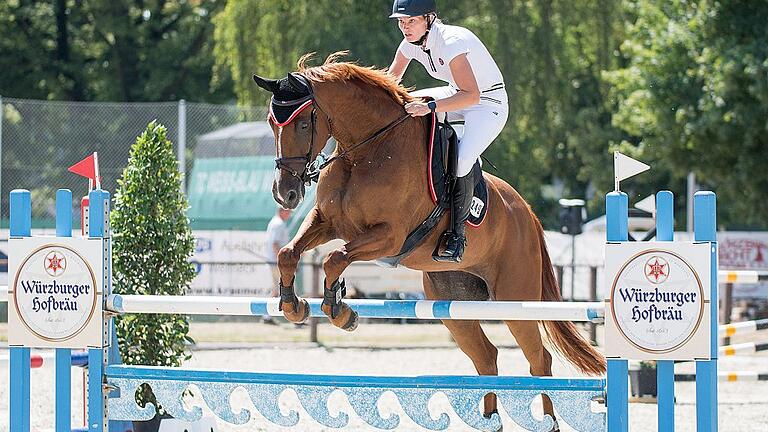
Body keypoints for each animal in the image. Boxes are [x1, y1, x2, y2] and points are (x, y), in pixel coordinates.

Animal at [254, 53, 608, 422]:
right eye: (271, 122)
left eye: (302, 124)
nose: (285, 194)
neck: (365, 151)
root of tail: (528, 214)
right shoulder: (328, 223)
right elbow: (288, 253)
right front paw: (293, 306)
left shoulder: (389, 236)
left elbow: (335, 258)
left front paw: (339, 310)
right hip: (451, 303)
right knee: (486, 356)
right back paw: (489, 422)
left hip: (515, 301)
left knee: (539, 360)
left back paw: (548, 422)